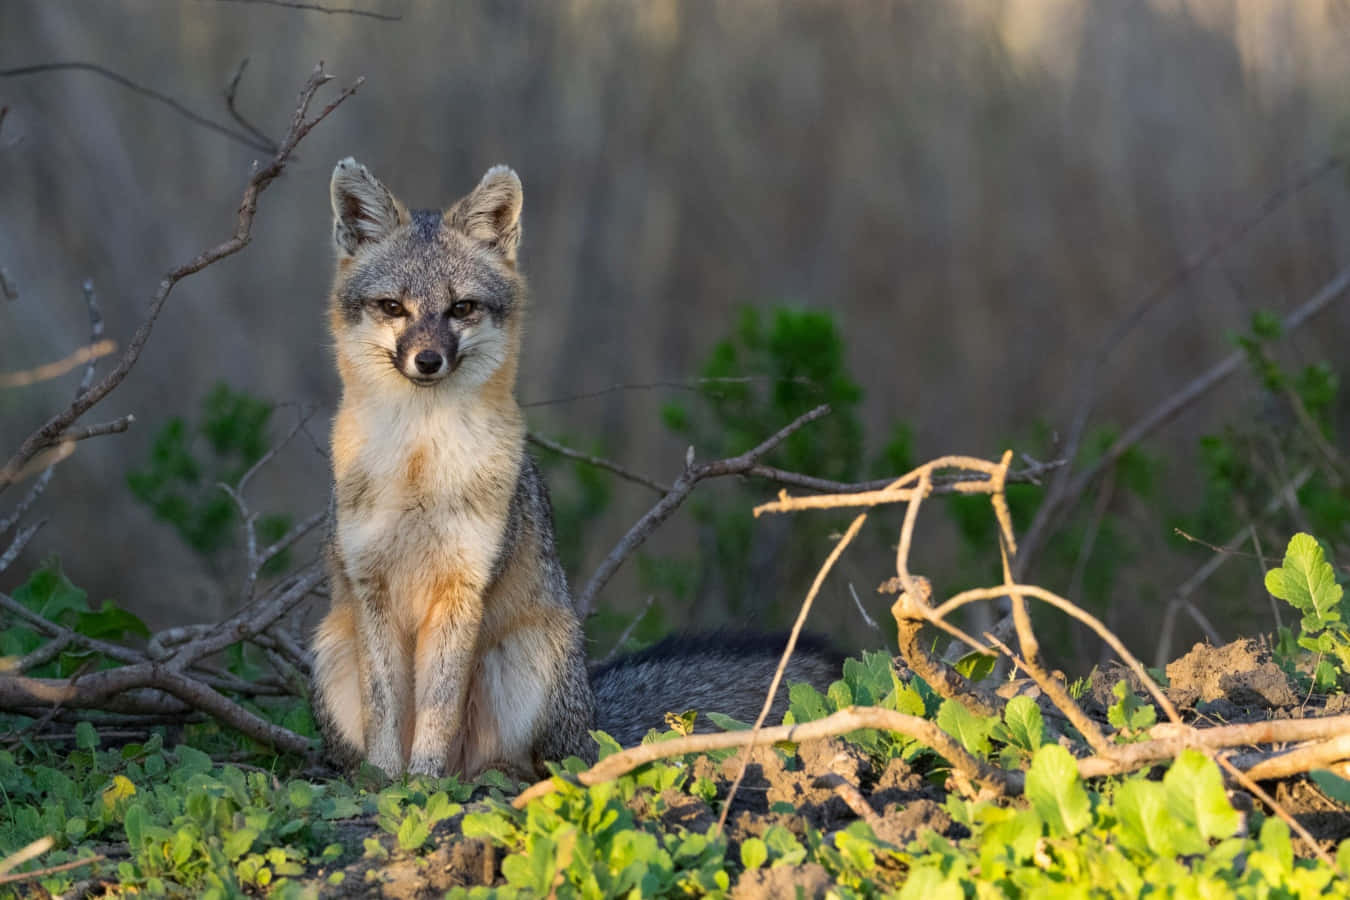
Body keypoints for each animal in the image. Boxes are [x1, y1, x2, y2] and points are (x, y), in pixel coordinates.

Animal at [311, 158, 842, 781]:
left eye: (461, 308)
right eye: (393, 307)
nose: (427, 360)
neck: (420, 465)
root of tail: (591, 715)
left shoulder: (463, 586)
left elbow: (438, 714)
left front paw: (421, 785)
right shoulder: (370, 585)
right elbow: (386, 713)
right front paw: (385, 783)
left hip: (527, 659)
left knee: (528, 764)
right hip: (331, 651)